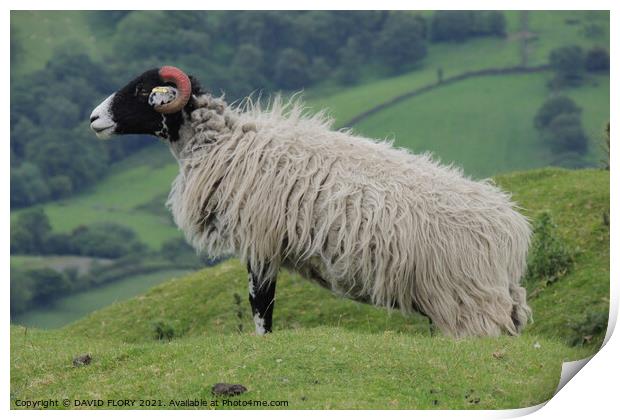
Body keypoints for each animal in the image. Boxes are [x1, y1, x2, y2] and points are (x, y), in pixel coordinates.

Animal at [89, 67, 532, 340]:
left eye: (142, 91)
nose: (93, 118)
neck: (224, 144)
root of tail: (513, 231)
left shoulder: (260, 241)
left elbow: (261, 304)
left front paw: (263, 343)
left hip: (470, 299)